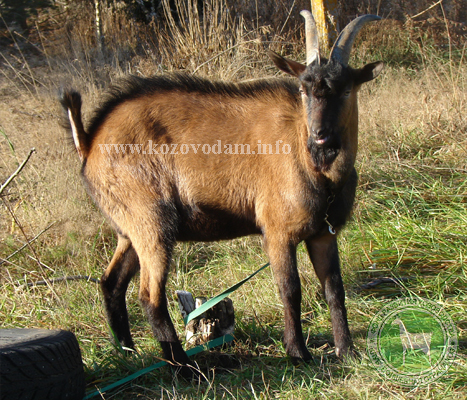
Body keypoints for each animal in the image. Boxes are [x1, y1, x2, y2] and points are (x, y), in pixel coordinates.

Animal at [61, 10, 384, 376]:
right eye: (303, 89)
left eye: (347, 89)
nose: (320, 135)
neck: (318, 170)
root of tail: (89, 141)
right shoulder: (277, 231)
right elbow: (290, 290)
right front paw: (298, 353)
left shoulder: (323, 233)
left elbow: (334, 290)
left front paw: (348, 351)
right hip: (152, 222)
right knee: (149, 296)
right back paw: (184, 368)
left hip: (128, 229)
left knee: (112, 282)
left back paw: (129, 352)